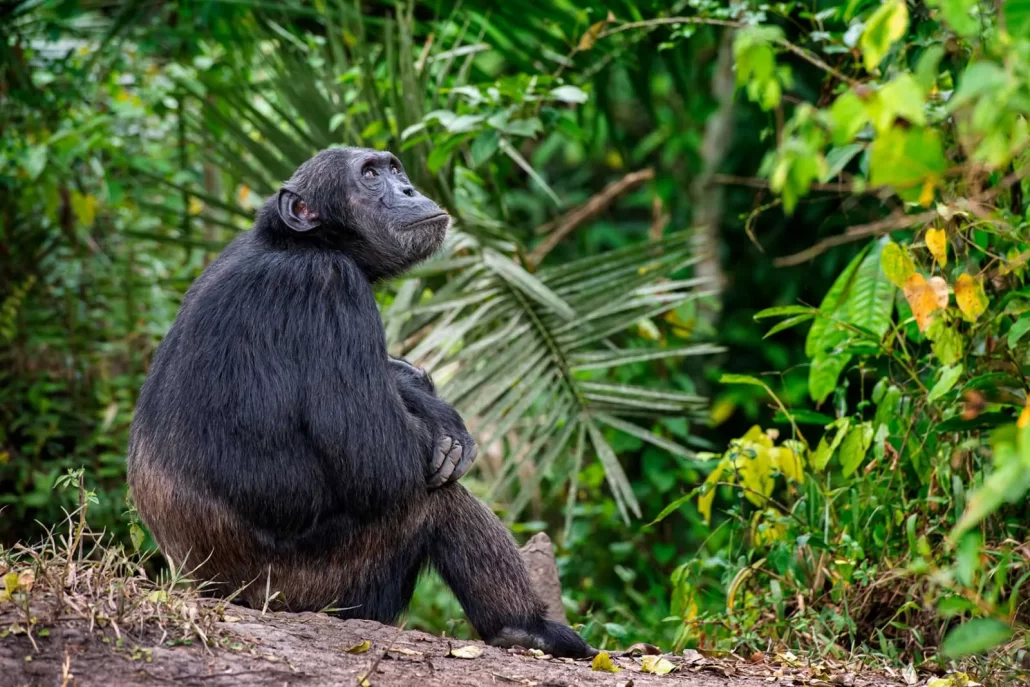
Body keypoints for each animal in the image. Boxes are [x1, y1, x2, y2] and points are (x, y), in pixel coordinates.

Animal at [126, 147, 595, 659]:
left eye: (394, 169)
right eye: (370, 176)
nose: (408, 189)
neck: (300, 244)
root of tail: (206, 590)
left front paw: (419, 391)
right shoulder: (330, 286)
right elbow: (378, 459)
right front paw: (435, 418)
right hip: (320, 589)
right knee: (434, 499)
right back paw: (525, 628)